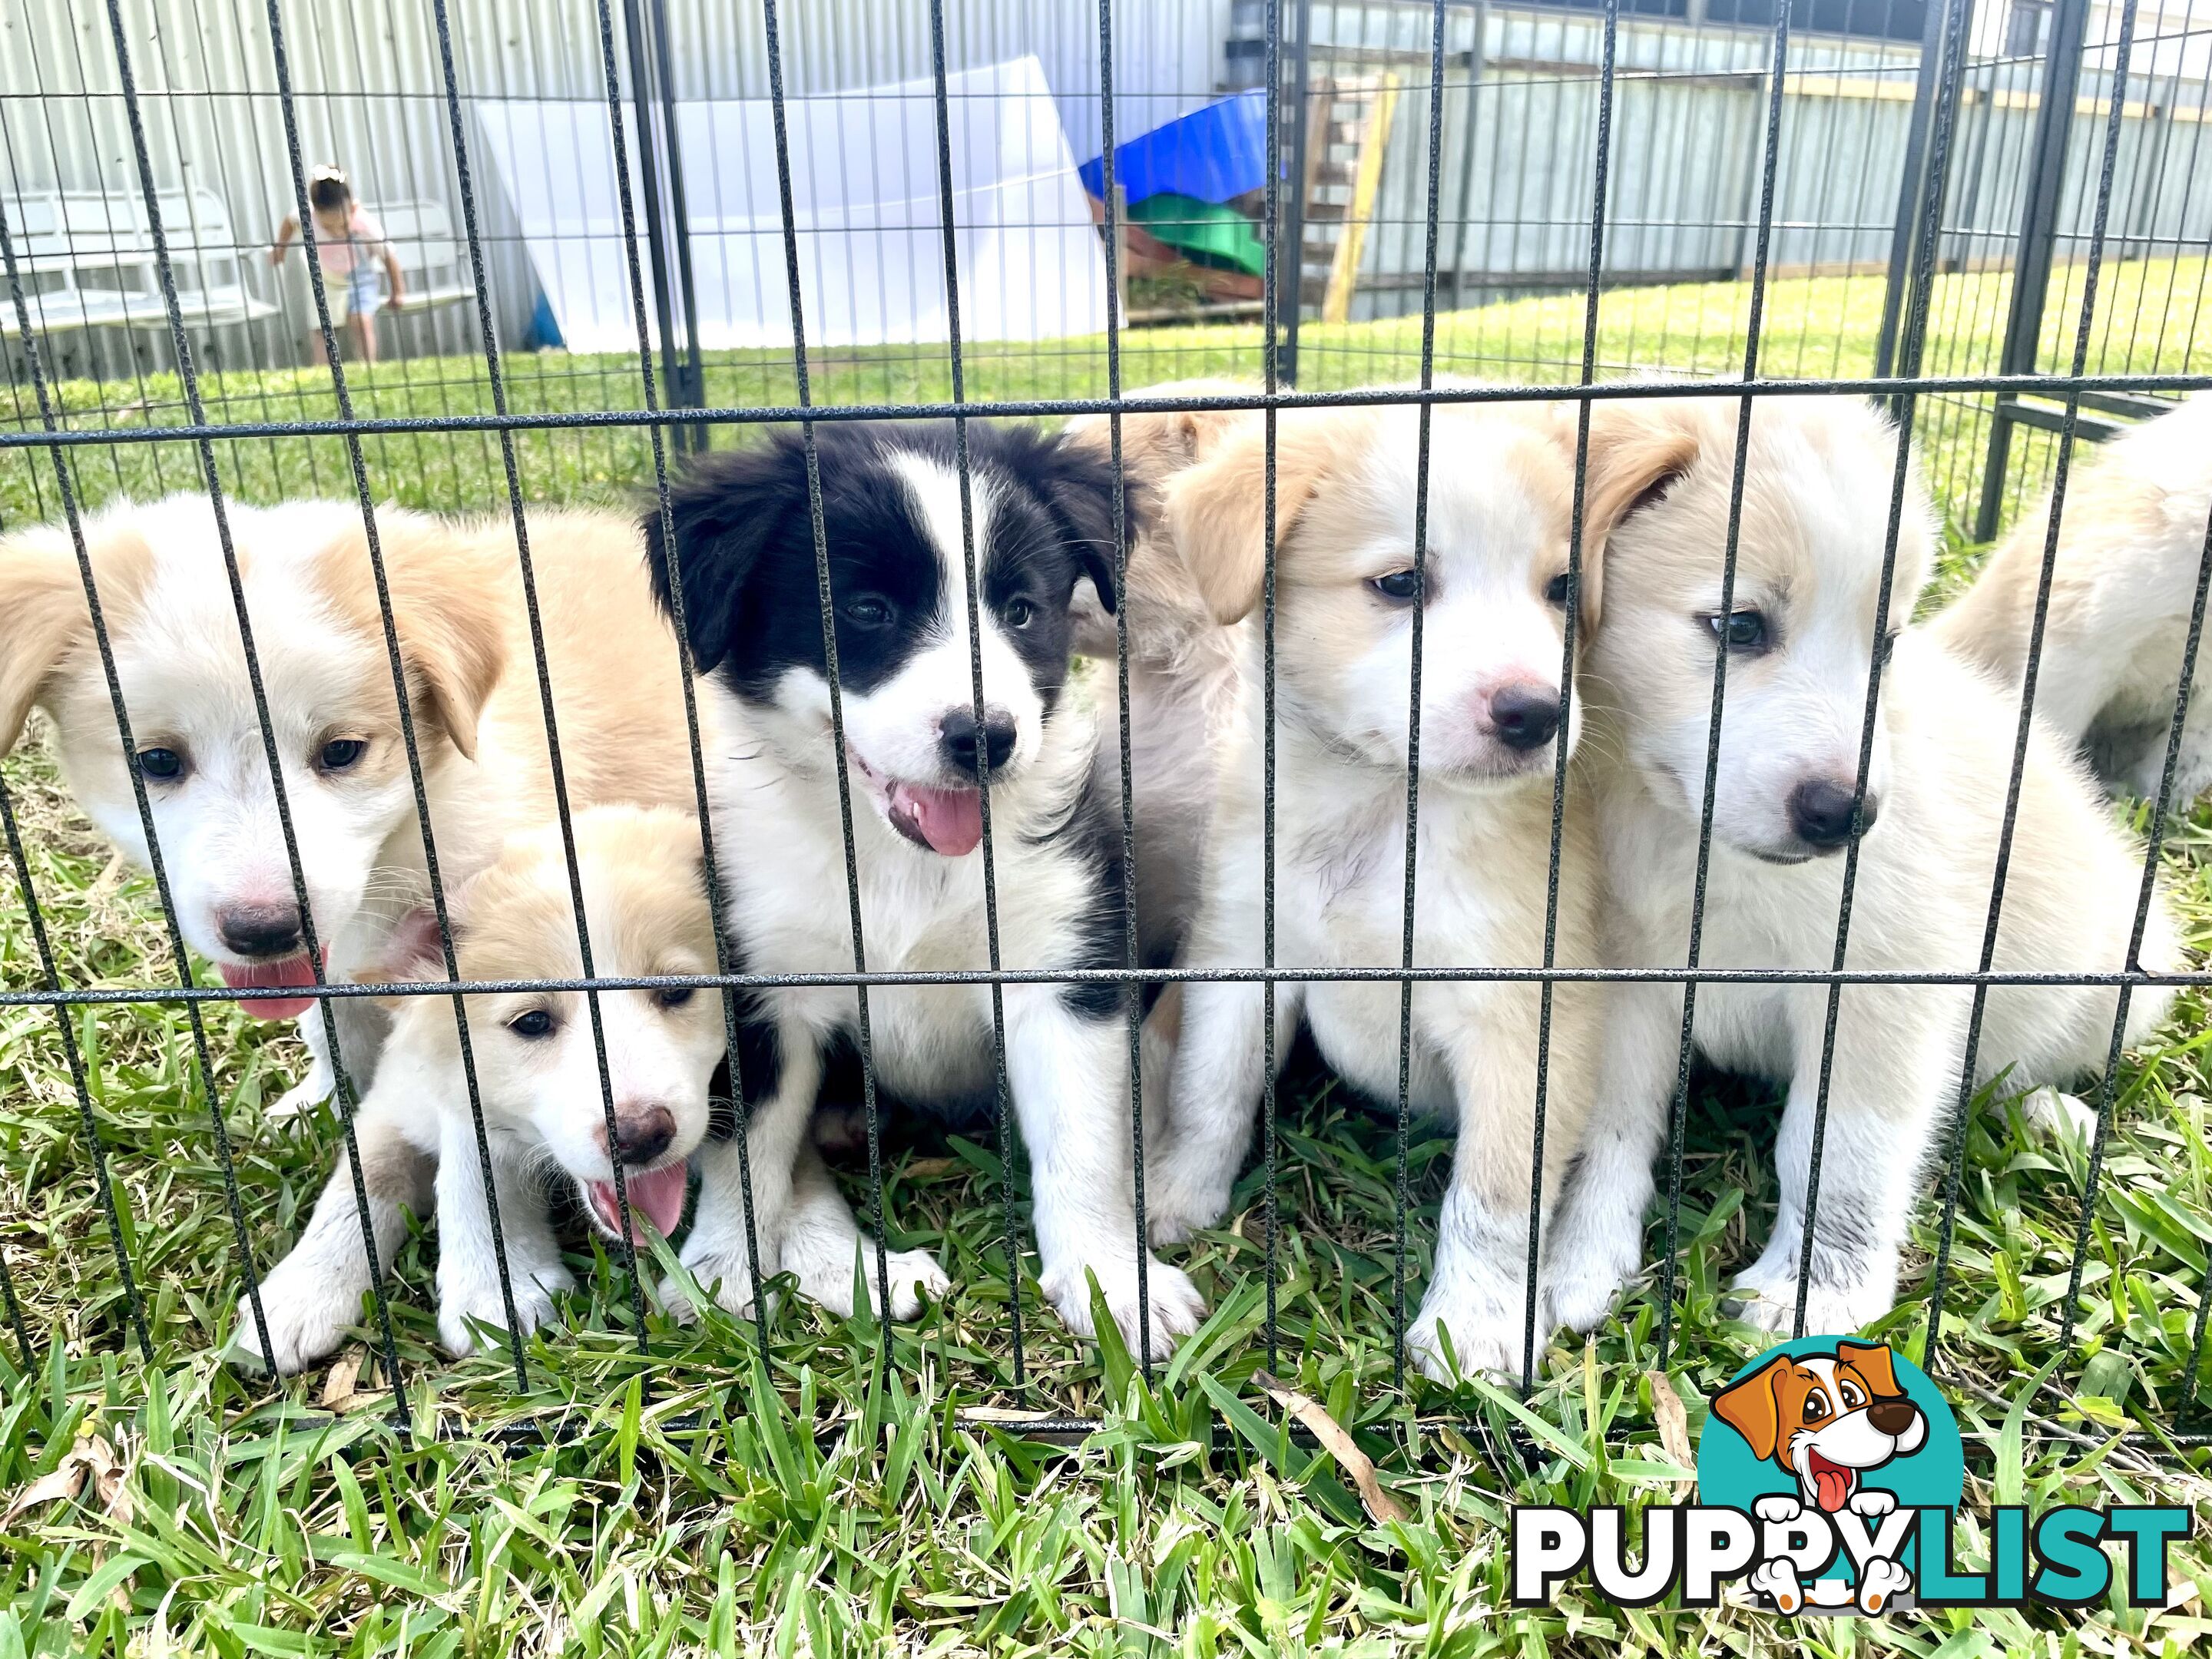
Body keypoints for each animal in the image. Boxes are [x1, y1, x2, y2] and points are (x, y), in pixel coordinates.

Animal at [235, 810, 942, 1380]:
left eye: (678, 993)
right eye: (531, 1023)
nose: (641, 1136)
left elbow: (786, 1180)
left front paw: (856, 1268)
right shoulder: (402, 1090)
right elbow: (383, 1179)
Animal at [645, 422, 1203, 1353]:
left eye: (1020, 610)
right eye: (868, 610)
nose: (986, 737)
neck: (900, 865)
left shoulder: (1062, 965)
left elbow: (1082, 1143)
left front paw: (1112, 1282)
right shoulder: (761, 984)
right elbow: (746, 1153)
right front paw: (721, 1269)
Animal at [1141, 396, 1610, 1380]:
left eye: (1560, 588)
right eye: (1399, 584)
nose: (1535, 714)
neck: (1382, 809)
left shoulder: (1524, 1017)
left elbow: (1494, 1196)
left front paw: (1474, 1325)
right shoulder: (1242, 958)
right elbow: (1210, 1093)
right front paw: (1174, 1193)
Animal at [1548, 396, 2185, 1345]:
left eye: (1883, 644)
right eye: (1739, 627)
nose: (1850, 815)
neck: (1695, 846)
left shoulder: (1884, 984)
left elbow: (1838, 1151)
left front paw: (1814, 1293)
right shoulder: (1633, 978)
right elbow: (1617, 1127)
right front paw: (1580, 1257)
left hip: (2120, 987)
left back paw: (2051, 1115)